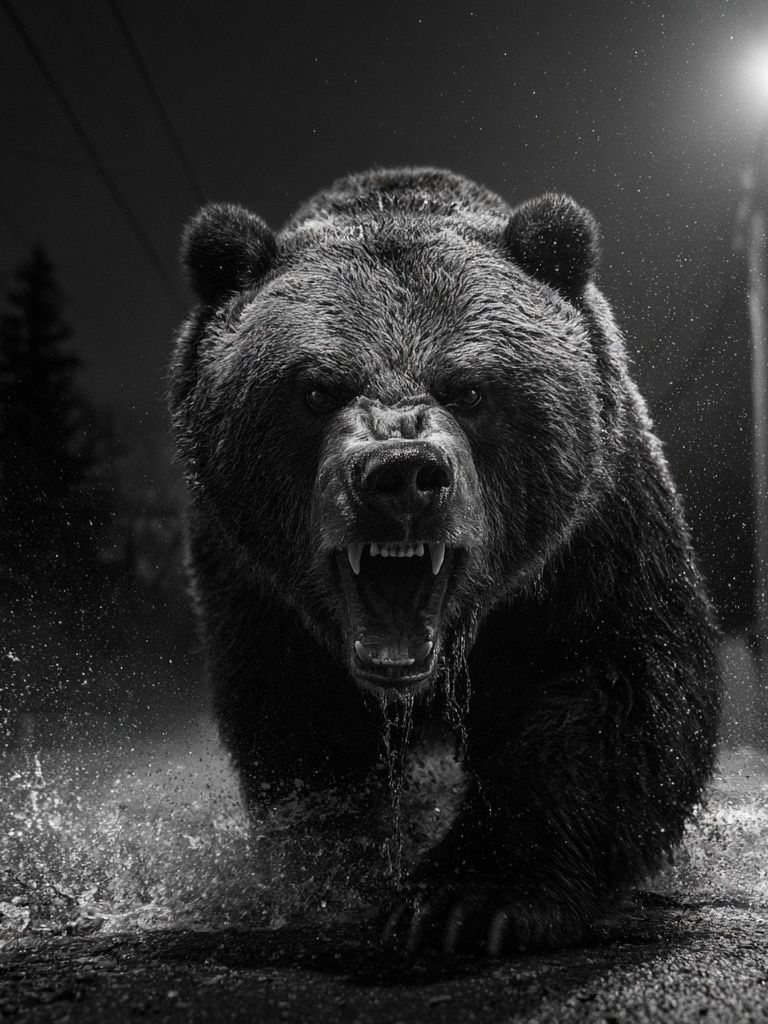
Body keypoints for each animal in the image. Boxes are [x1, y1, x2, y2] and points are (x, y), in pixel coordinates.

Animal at [169, 167, 720, 955]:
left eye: (470, 387)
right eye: (316, 388)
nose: (400, 474)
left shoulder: (594, 533)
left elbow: (615, 688)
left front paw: (463, 898)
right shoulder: (252, 585)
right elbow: (301, 729)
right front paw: (339, 876)